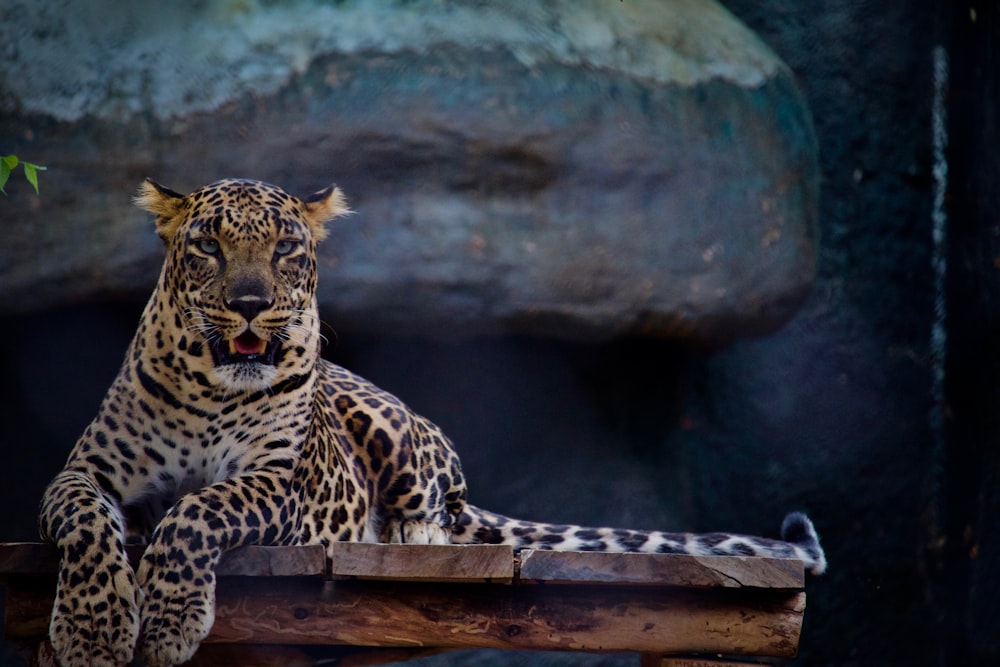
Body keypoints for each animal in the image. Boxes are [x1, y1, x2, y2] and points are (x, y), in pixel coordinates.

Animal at [39, 177, 828, 667]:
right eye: (208, 245)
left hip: (392, 427)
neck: (211, 389)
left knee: (439, 510)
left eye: (286, 249)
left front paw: (168, 622)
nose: (250, 304)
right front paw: (93, 630)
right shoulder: (87, 471)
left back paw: (408, 536)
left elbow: (198, 511)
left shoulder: (278, 481)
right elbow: (85, 520)